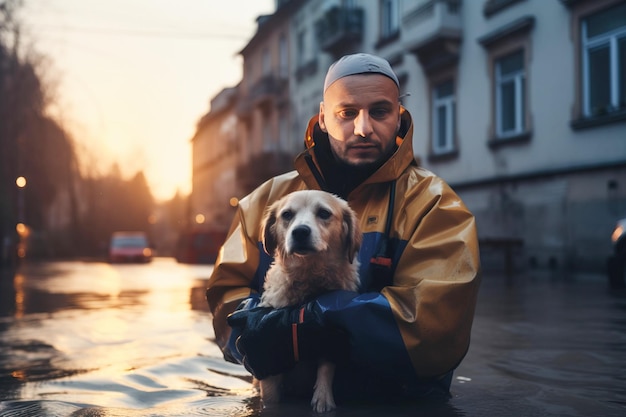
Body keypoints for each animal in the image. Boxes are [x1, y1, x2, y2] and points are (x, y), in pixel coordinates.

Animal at [256, 190, 358, 412]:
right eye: (287, 214)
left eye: (324, 213)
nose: (300, 232)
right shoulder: (268, 364)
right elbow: (270, 398)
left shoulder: (327, 334)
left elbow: (327, 364)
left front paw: (323, 398)